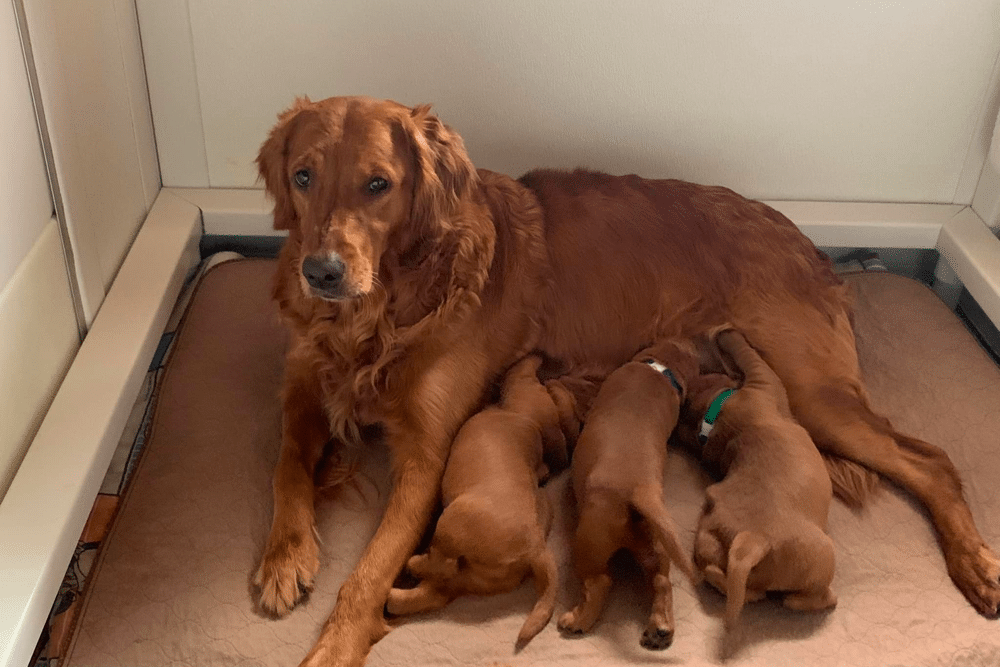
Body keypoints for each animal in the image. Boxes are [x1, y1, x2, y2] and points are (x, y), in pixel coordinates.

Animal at [388, 360, 580, 648]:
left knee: (441, 567)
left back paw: (413, 564)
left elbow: (522, 373)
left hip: (452, 524)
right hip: (473, 577)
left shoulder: (523, 389)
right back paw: (394, 598)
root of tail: (536, 548)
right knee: (436, 592)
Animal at [556, 340, 704, 648]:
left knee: (600, 582)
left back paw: (577, 620)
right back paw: (660, 629)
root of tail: (640, 492)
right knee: (661, 581)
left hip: (588, 541)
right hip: (655, 544)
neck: (660, 369)